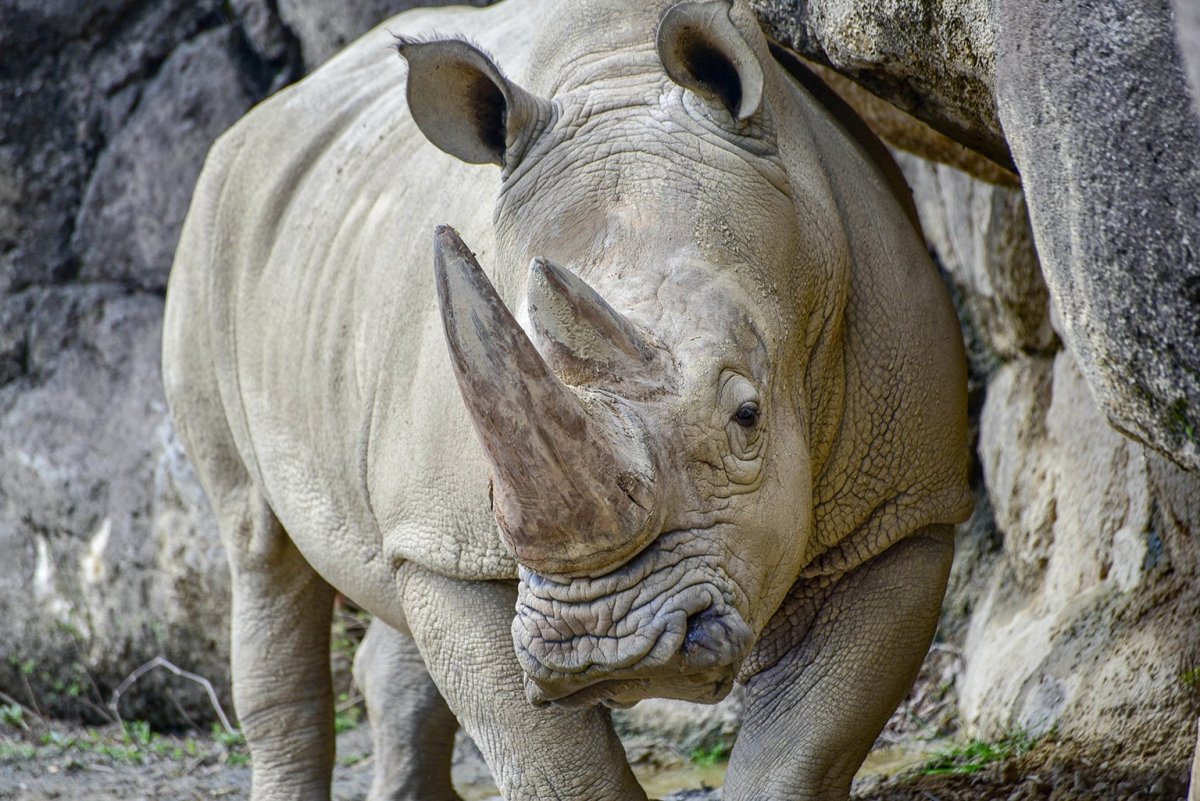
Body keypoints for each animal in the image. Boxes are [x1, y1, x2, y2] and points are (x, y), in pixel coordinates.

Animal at [162, 0, 973, 798]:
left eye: (748, 417)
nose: (604, 645)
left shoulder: (902, 508)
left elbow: (800, 753)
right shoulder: (455, 546)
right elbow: (554, 766)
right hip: (209, 237)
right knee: (258, 544)